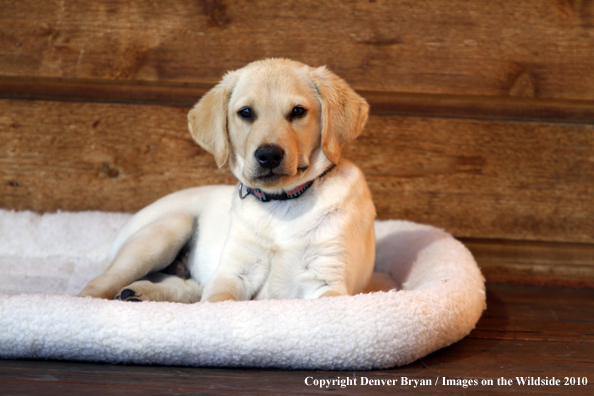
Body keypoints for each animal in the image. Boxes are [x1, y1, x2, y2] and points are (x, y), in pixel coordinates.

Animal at [78, 58, 374, 304]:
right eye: (245, 112)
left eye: (298, 111)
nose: (268, 155)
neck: (282, 202)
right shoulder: (233, 273)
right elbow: (218, 301)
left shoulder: (327, 280)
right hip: (167, 229)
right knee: (102, 281)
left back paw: (139, 292)